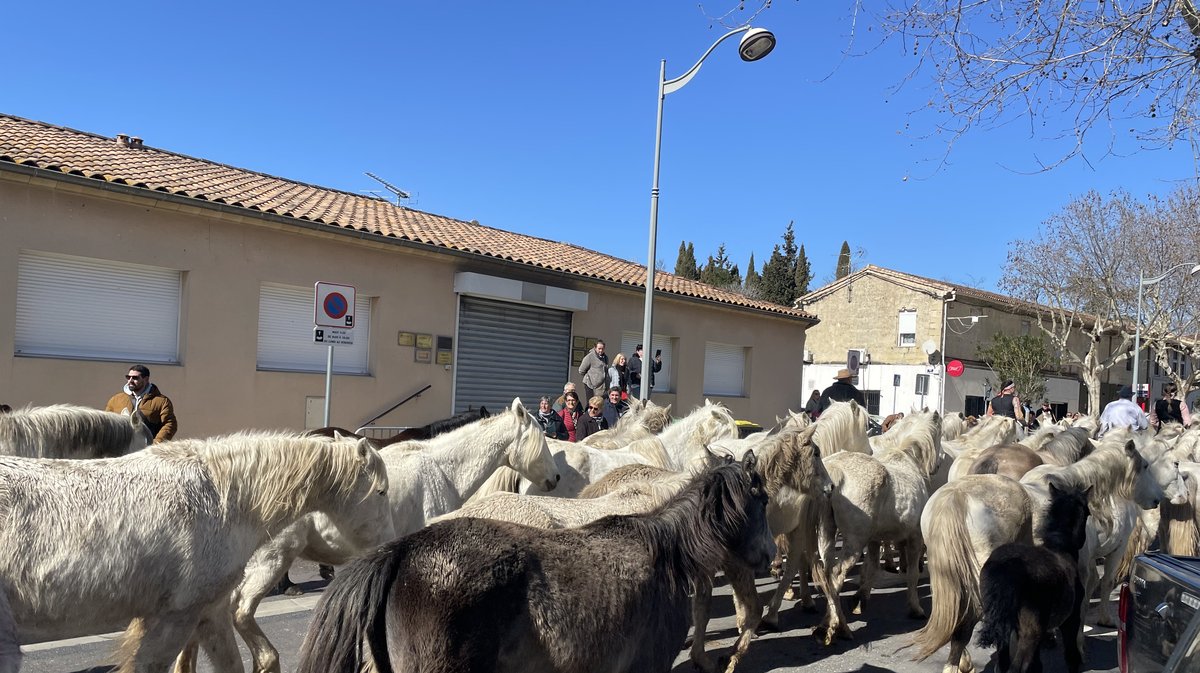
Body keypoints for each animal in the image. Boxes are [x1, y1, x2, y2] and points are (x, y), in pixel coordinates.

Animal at [979, 479, 1094, 667]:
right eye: (1088, 513)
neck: (1060, 548)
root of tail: (1006, 566)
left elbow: (1037, 665)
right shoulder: (1071, 619)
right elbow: (1072, 655)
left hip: (1005, 628)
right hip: (1030, 633)